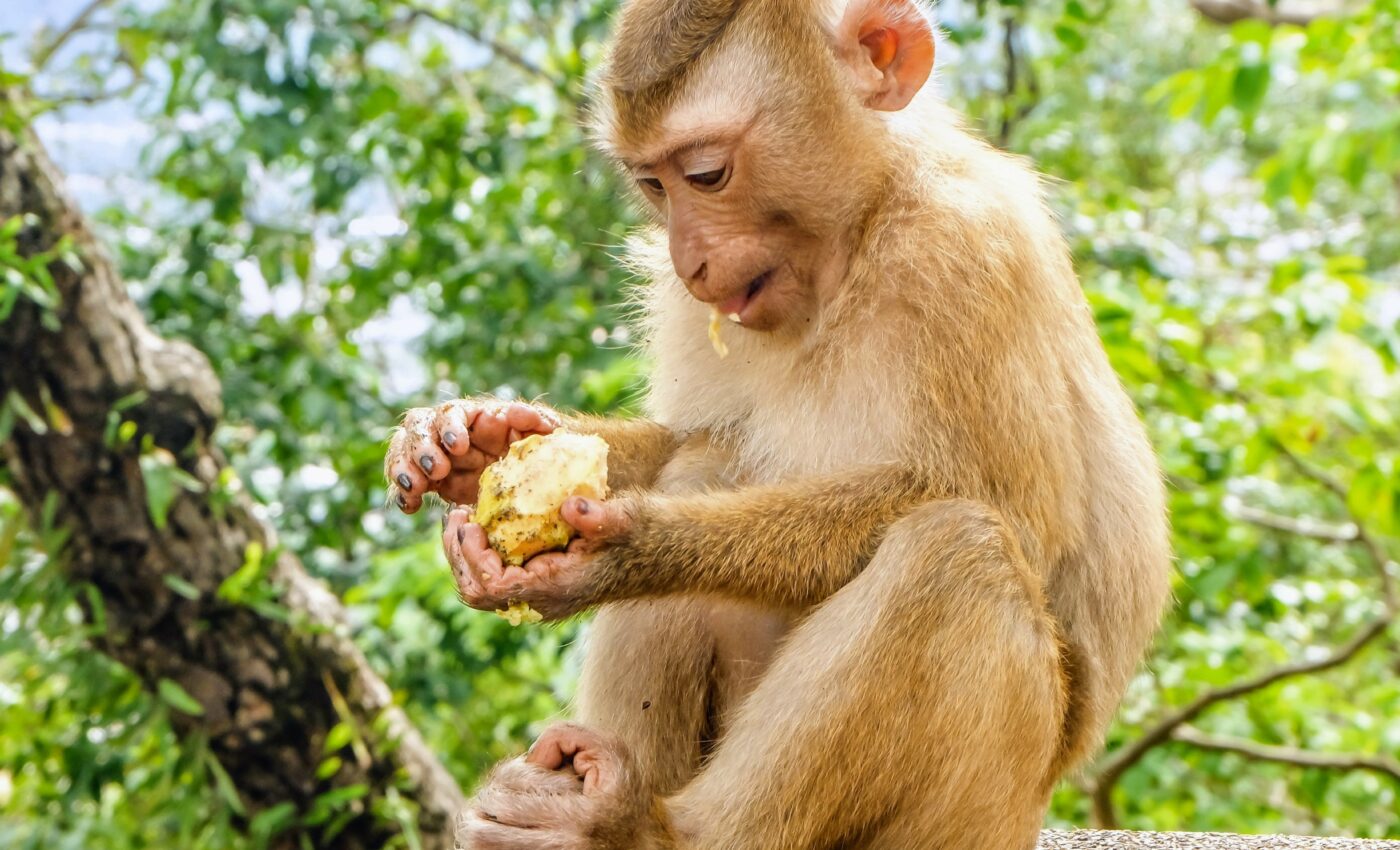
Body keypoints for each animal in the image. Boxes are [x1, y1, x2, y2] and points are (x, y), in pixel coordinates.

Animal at [382, 0, 1172, 846]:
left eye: (707, 174)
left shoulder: (967, 248)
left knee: (959, 552)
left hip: (983, 810)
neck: (855, 244)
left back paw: (638, 829)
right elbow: (685, 436)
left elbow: (1020, 516)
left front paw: (640, 548)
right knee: (709, 459)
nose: (689, 259)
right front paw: (470, 440)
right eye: (652, 184)